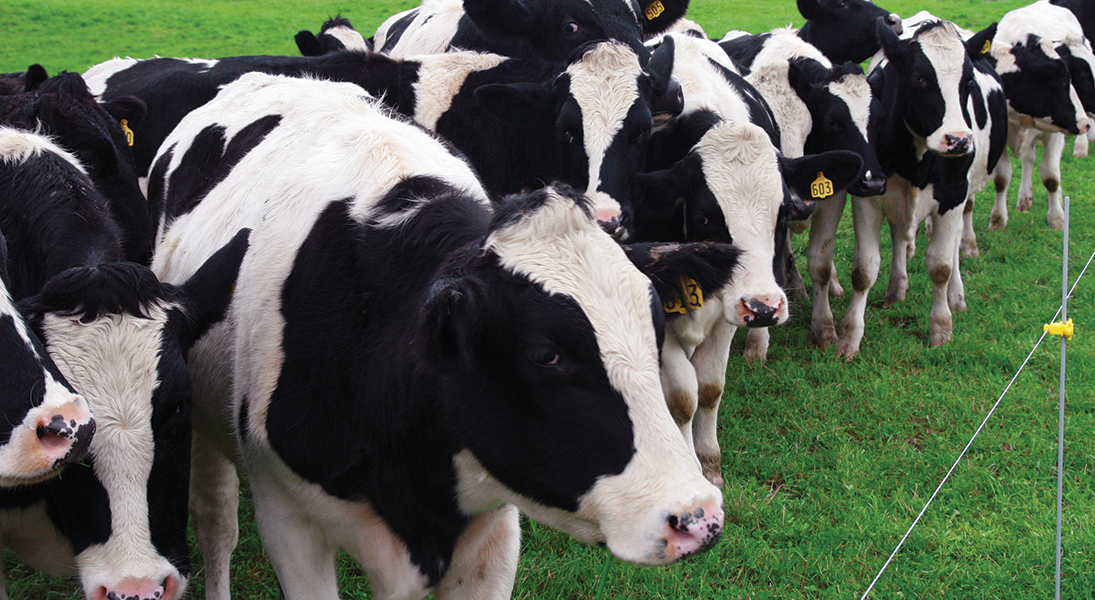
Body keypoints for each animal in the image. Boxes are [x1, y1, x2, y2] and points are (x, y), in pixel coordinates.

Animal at [149, 72, 735, 600]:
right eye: (545, 355)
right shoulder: (289, 522)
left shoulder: (493, 538)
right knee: (216, 521)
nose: (697, 516)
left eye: (654, 329)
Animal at [632, 32, 863, 483]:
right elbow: (682, 396)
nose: (764, 307)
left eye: (782, 214)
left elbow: (708, 387)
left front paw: (709, 464)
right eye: (705, 217)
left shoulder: (729, 301)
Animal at [834, 17, 1002, 358]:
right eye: (919, 78)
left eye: (968, 81)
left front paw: (941, 329)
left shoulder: (953, 194)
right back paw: (897, 288)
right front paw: (850, 336)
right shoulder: (869, 194)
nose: (958, 140)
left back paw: (956, 296)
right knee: (900, 235)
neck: (916, 162)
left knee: (953, 245)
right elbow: (864, 269)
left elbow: (941, 266)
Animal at [988, 0, 1095, 232]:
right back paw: (1025, 198)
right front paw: (998, 220)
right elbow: (1002, 178)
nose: (1083, 123)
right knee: (1028, 159)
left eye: (1070, 76)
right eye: (1080, 73)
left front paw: (1057, 219)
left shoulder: (1055, 133)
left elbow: (1050, 176)